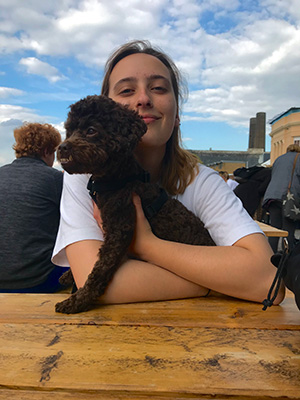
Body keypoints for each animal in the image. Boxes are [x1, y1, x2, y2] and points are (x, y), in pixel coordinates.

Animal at [55, 95, 216, 314]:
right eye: (69, 131)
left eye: (91, 130)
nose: (62, 147)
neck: (119, 179)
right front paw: (69, 276)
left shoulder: (120, 230)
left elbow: (100, 268)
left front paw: (79, 300)